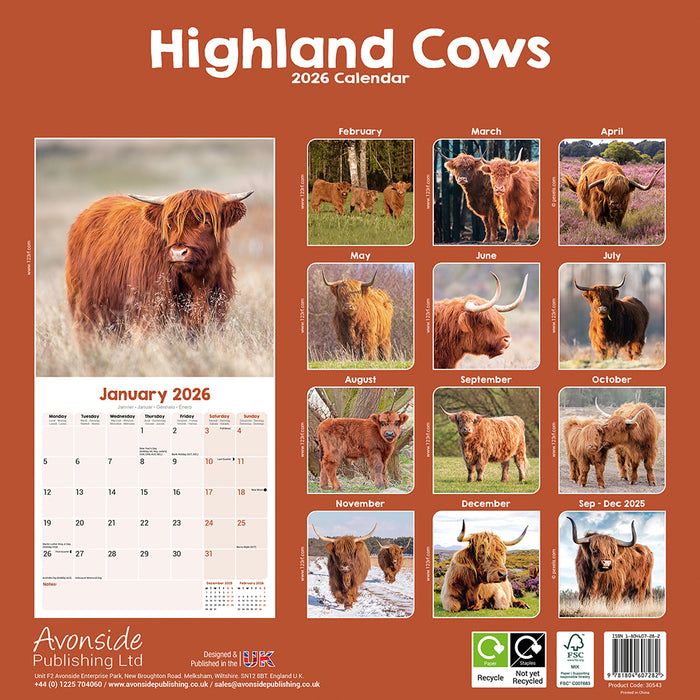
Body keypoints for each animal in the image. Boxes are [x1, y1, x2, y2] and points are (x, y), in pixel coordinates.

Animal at [65, 188, 252, 336]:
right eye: (169, 223)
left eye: (206, 222)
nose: (178, 253)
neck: (198, 283)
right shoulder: (147, 314)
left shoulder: (216, 313)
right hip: (86, 310)